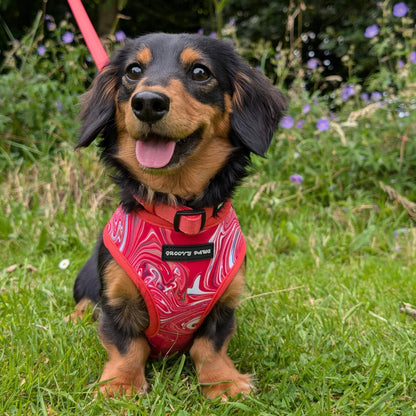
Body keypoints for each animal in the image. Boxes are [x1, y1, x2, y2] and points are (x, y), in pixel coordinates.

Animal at [71, 32, 288, 400]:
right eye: (133, 70)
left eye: (200, 72)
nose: (147, 102)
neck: (180, 217)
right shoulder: (116, 298)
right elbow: (127, 345)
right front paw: (120, 384)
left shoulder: (224, 302)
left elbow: (209, 345)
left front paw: (223, 381)